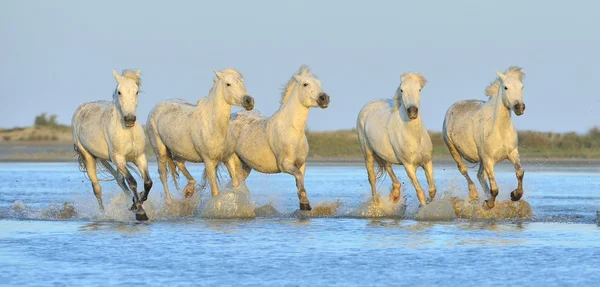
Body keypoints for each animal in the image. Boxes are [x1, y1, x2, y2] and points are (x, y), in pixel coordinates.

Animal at [72, 69, 152, 220]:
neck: (128, 132)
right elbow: (132, 181)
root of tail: (81, 108)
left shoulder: (140, 157)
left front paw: (137, 203)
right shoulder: (119, 158)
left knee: (120, 180)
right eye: (119, 92)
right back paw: (104, 214)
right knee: (97, 188)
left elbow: (147, 182)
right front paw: (140, 212)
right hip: (88, 157)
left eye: (137, 91)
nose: (130, 119)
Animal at [148, 69, 255, 205]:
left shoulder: (228, 158)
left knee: (179, 163)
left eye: (242, 82)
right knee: (163, 175)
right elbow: (215, 192)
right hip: (160, 151)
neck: (213, 126)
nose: (249, 101)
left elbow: (236, 185)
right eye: (228, 84)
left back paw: (189, 190)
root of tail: (157, 107)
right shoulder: (208, 162)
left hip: (180, 151)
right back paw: (169, 202)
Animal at [225, 66, 330, 212]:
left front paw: (304, 204)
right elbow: (298, 176)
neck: (292, 131)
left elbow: (300, 180)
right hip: (233, 162)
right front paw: (305, 204)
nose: (324, 98)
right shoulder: (284, 164)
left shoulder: (301, 164)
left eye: (319, 83)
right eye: (305, 84)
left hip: (245, 166)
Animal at [356, 72, 436, 207]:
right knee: (372, 178)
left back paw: (395, 195)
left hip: (383, 153)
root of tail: (368, 105)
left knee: (388, 167)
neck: (415, 136)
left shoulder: (427, 162)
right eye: (402, 89)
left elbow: (432, 190)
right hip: (368, 153)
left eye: (419, 89)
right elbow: (420, 192)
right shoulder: (408, 166)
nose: (412, 112)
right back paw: (376, 204)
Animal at [442, 66, 528, 209]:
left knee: (480, 176)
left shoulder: (512, 153)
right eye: (505, 87)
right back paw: (474, 195)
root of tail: (452, 108)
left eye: (522, 87)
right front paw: (489, 203)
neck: (499, 129)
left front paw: (515, 195)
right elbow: (495, 189)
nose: (519, 107)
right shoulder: (488, 160)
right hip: (453, 149)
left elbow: (520, 172)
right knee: (464, 170)